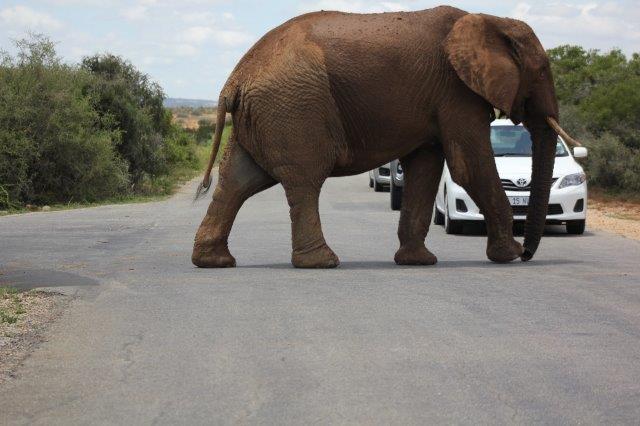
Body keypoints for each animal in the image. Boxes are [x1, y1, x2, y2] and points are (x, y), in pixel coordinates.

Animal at [190, 4, 580, 270]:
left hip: (267, 112)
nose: (528, 253)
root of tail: (236, 77)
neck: (491, 20)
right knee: (303, 180)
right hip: (294, 106)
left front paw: (418, 261)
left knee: (239, 180)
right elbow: (468, 166)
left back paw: (214, 261)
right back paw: (322, 263)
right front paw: (507, 255)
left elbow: (426, 168)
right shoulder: (456, 93)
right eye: (542, 69)